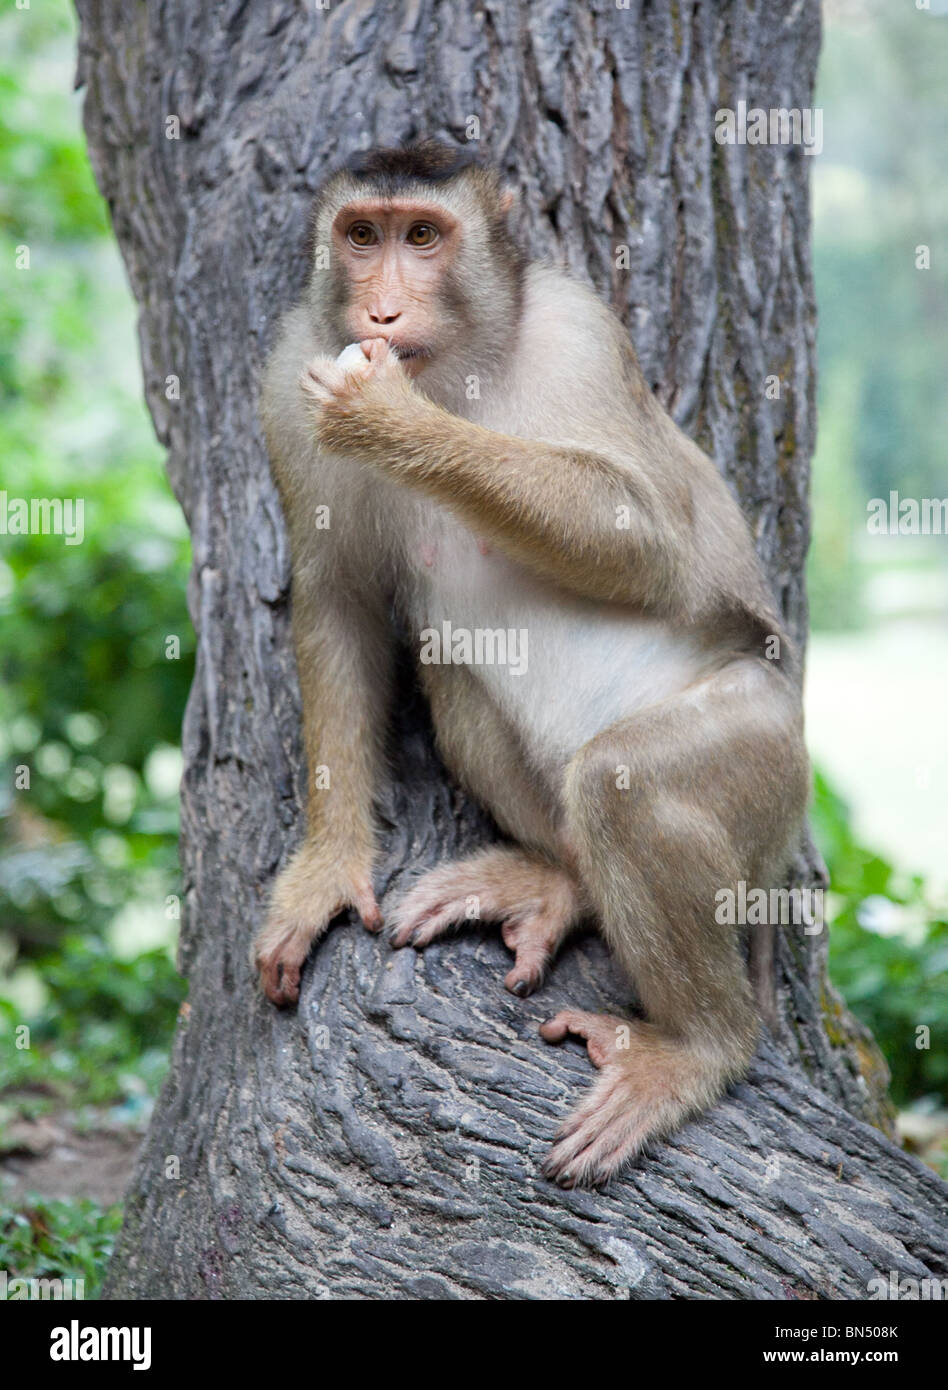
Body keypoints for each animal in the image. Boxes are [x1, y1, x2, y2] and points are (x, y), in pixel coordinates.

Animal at [254, 138, 806, 1184]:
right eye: (363, 235)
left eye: (424, 238)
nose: (382, 311)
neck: (454, 370)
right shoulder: (283, 379)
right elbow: (339, 599)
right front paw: (329, 866)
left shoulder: (579, 329)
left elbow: (645, 535)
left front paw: (392, 423)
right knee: (453, 672)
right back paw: (560, 879)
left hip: (767, 751)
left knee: (628, 782)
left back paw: (698, 1048)